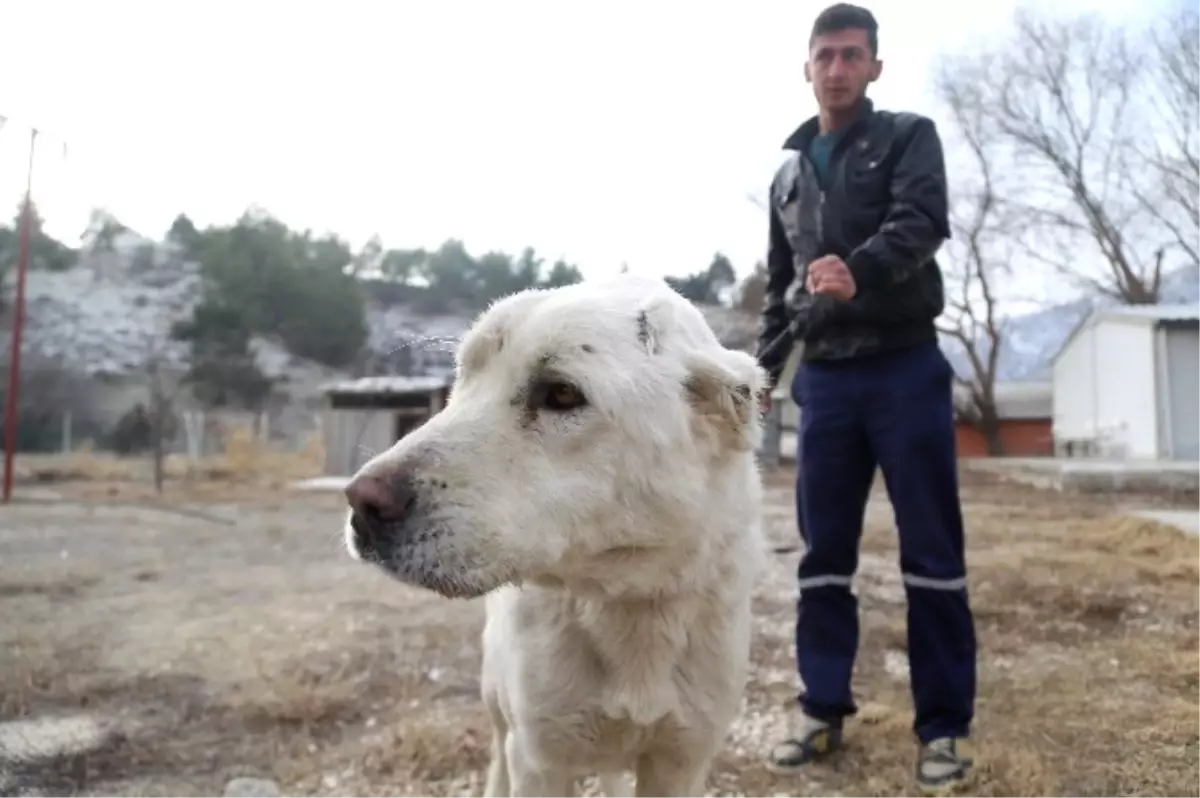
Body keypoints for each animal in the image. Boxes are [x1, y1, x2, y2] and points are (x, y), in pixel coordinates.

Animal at [343, 276, 763, 796]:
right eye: (465, 378)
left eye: (561, 393)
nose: (362, 503)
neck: (629, 606)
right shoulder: (538, 760)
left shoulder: (681, 762)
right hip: (498, 704)